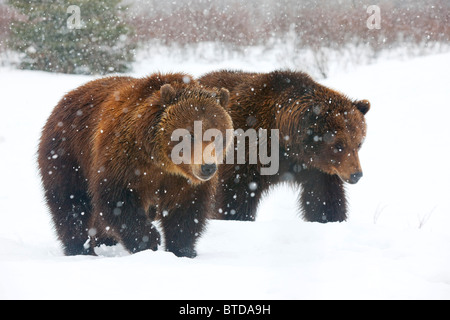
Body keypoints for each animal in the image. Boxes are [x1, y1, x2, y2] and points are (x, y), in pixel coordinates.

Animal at [37, 73, 232, 258]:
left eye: (218, 135)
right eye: (190, 134)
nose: (207, 167)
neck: (161, 160)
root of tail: (67, 96)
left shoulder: (181, 181)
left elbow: (186, 211)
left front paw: (182, 250)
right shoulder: (125, 159)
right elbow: (118, 200)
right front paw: (149, 241)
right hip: (69, 153)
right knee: (71, 202)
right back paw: (80, 249)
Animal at [200, 70, 370, 222]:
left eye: (358, 144)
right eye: (338, 145)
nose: (356, 174)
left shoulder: (316, 169)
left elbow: (324, 197)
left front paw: (330, 218)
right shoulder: (248, 150)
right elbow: (236, 195)